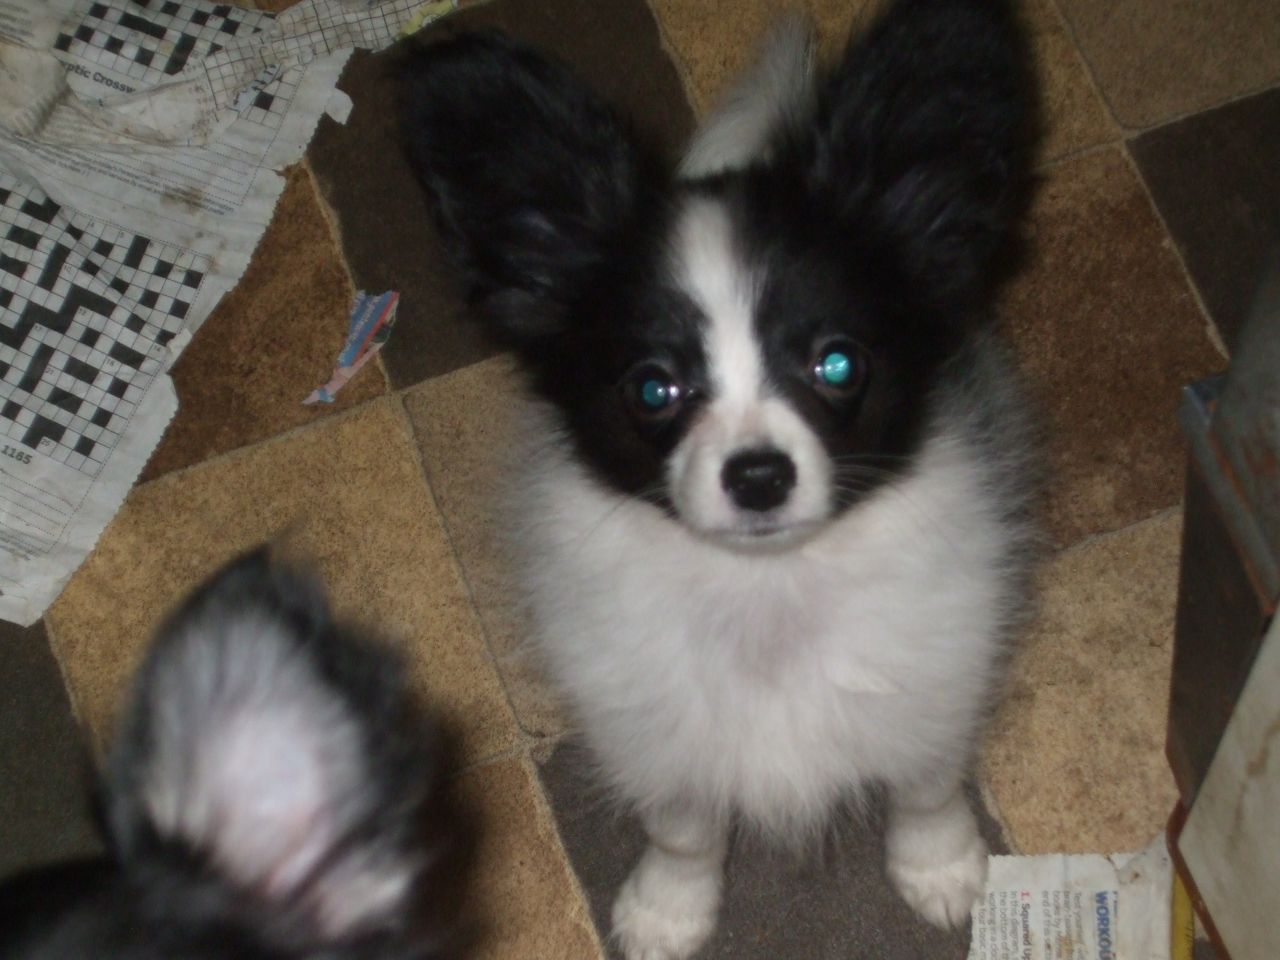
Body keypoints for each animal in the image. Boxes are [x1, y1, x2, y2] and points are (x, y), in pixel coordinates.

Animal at [404, 3, 1044, 957]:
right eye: (652, 389)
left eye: (837, 363)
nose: (758, 476)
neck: (766, 590)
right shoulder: (657, 725)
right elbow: (683, 829)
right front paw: (667, 910)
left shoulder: (935, 675)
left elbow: (925, 786)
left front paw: (941, 869)